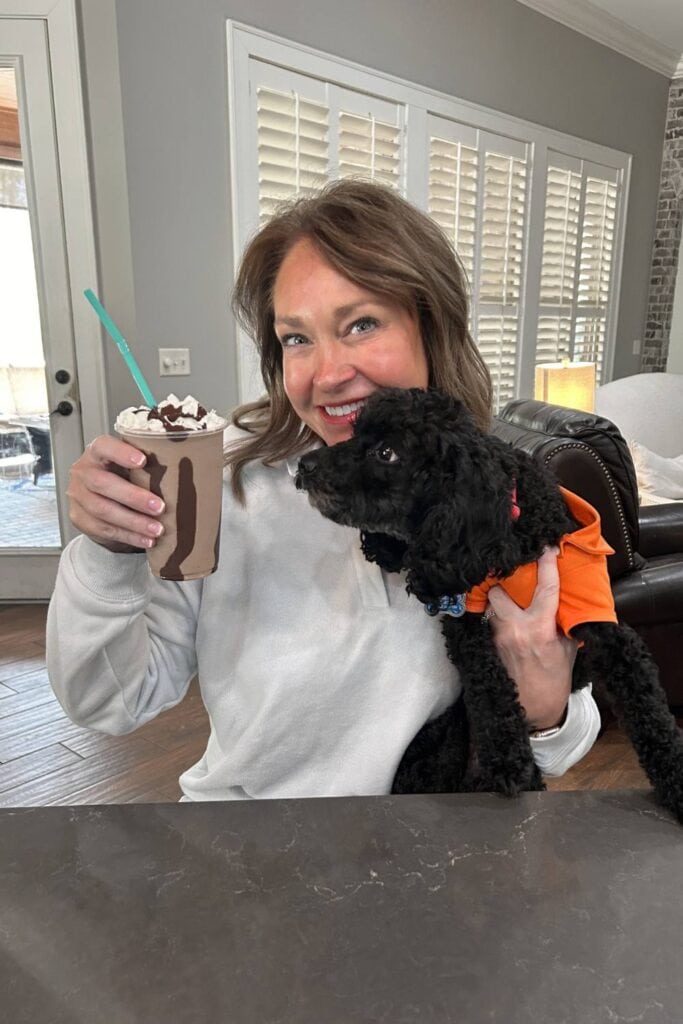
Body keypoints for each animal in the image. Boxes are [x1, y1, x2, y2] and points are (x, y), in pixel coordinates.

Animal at [294, 385, 683, 823]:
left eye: (386, 453)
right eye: (355, 433)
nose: (304, 466)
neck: (512, 533)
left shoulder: (605, 626)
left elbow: (649, 708)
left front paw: (677, 779)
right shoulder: (467, 628)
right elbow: (492, 692)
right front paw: (507, 764)